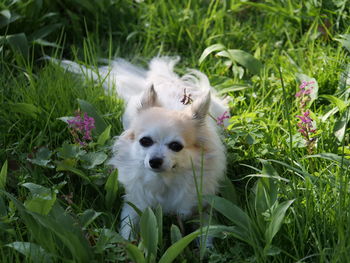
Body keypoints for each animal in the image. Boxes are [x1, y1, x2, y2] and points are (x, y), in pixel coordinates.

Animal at [58, 56, 227, 241]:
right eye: (145, 141)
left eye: (176, 146)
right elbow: (128, 228)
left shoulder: (200, 205)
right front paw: (126, 246)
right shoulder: (135, 203)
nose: (155, 161)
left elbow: (206, 233)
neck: (164, 181)